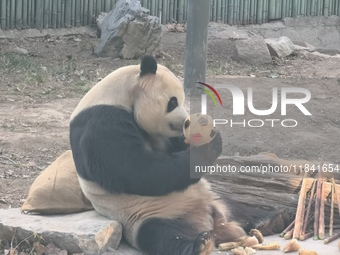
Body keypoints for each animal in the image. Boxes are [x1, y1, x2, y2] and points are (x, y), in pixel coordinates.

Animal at [69, 56, 290, 255]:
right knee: (162, 235)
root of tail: (214, 226)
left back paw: (272, 219)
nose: (186, 121)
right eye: (173, 102)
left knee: (239, 208)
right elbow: (140, 171)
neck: (118, 95)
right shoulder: (102, 124)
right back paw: (200, 245)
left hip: (214, 197)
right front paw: (210, 145)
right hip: (145, 215)